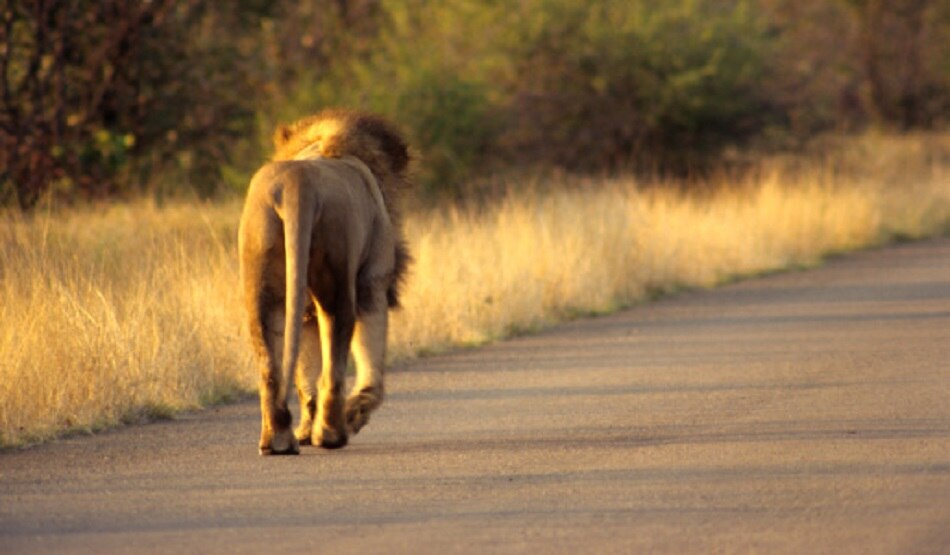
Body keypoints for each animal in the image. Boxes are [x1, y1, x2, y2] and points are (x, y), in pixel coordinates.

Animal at [238, 109, 410, 455]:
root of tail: (296, 184)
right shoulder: (373, 281)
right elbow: (371, 367)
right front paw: (355, 413)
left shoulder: (304, 312)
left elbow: (305, 374)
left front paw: (306, 430)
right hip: (338, 273)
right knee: (333, 366)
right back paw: (332, 433)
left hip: (262, 274)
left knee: (271, 366)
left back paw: (279, 440)